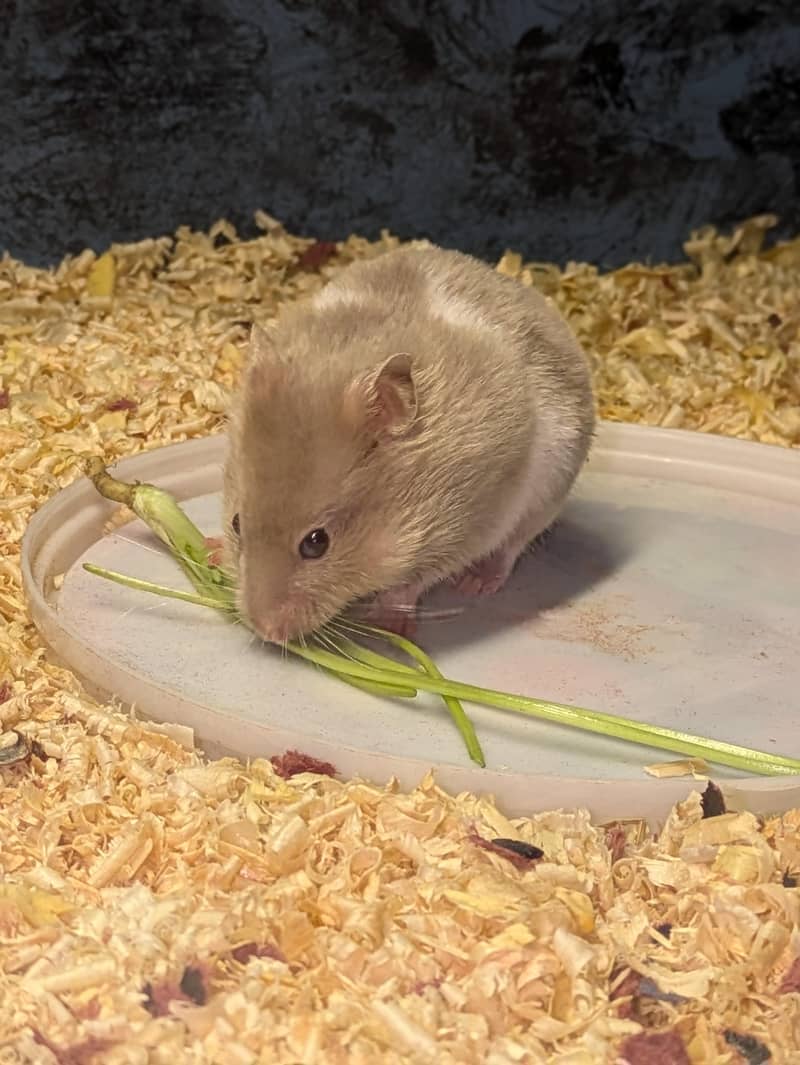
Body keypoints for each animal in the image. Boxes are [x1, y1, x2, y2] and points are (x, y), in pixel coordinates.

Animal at [222, 244, 595, 644]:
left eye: (316, 542)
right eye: (237, 524)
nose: (265, 631)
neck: (404, 501)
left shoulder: (468, 528)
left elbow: (414, 580)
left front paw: (389, 624)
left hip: (547, 493)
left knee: (511, 547)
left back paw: (476, 584)